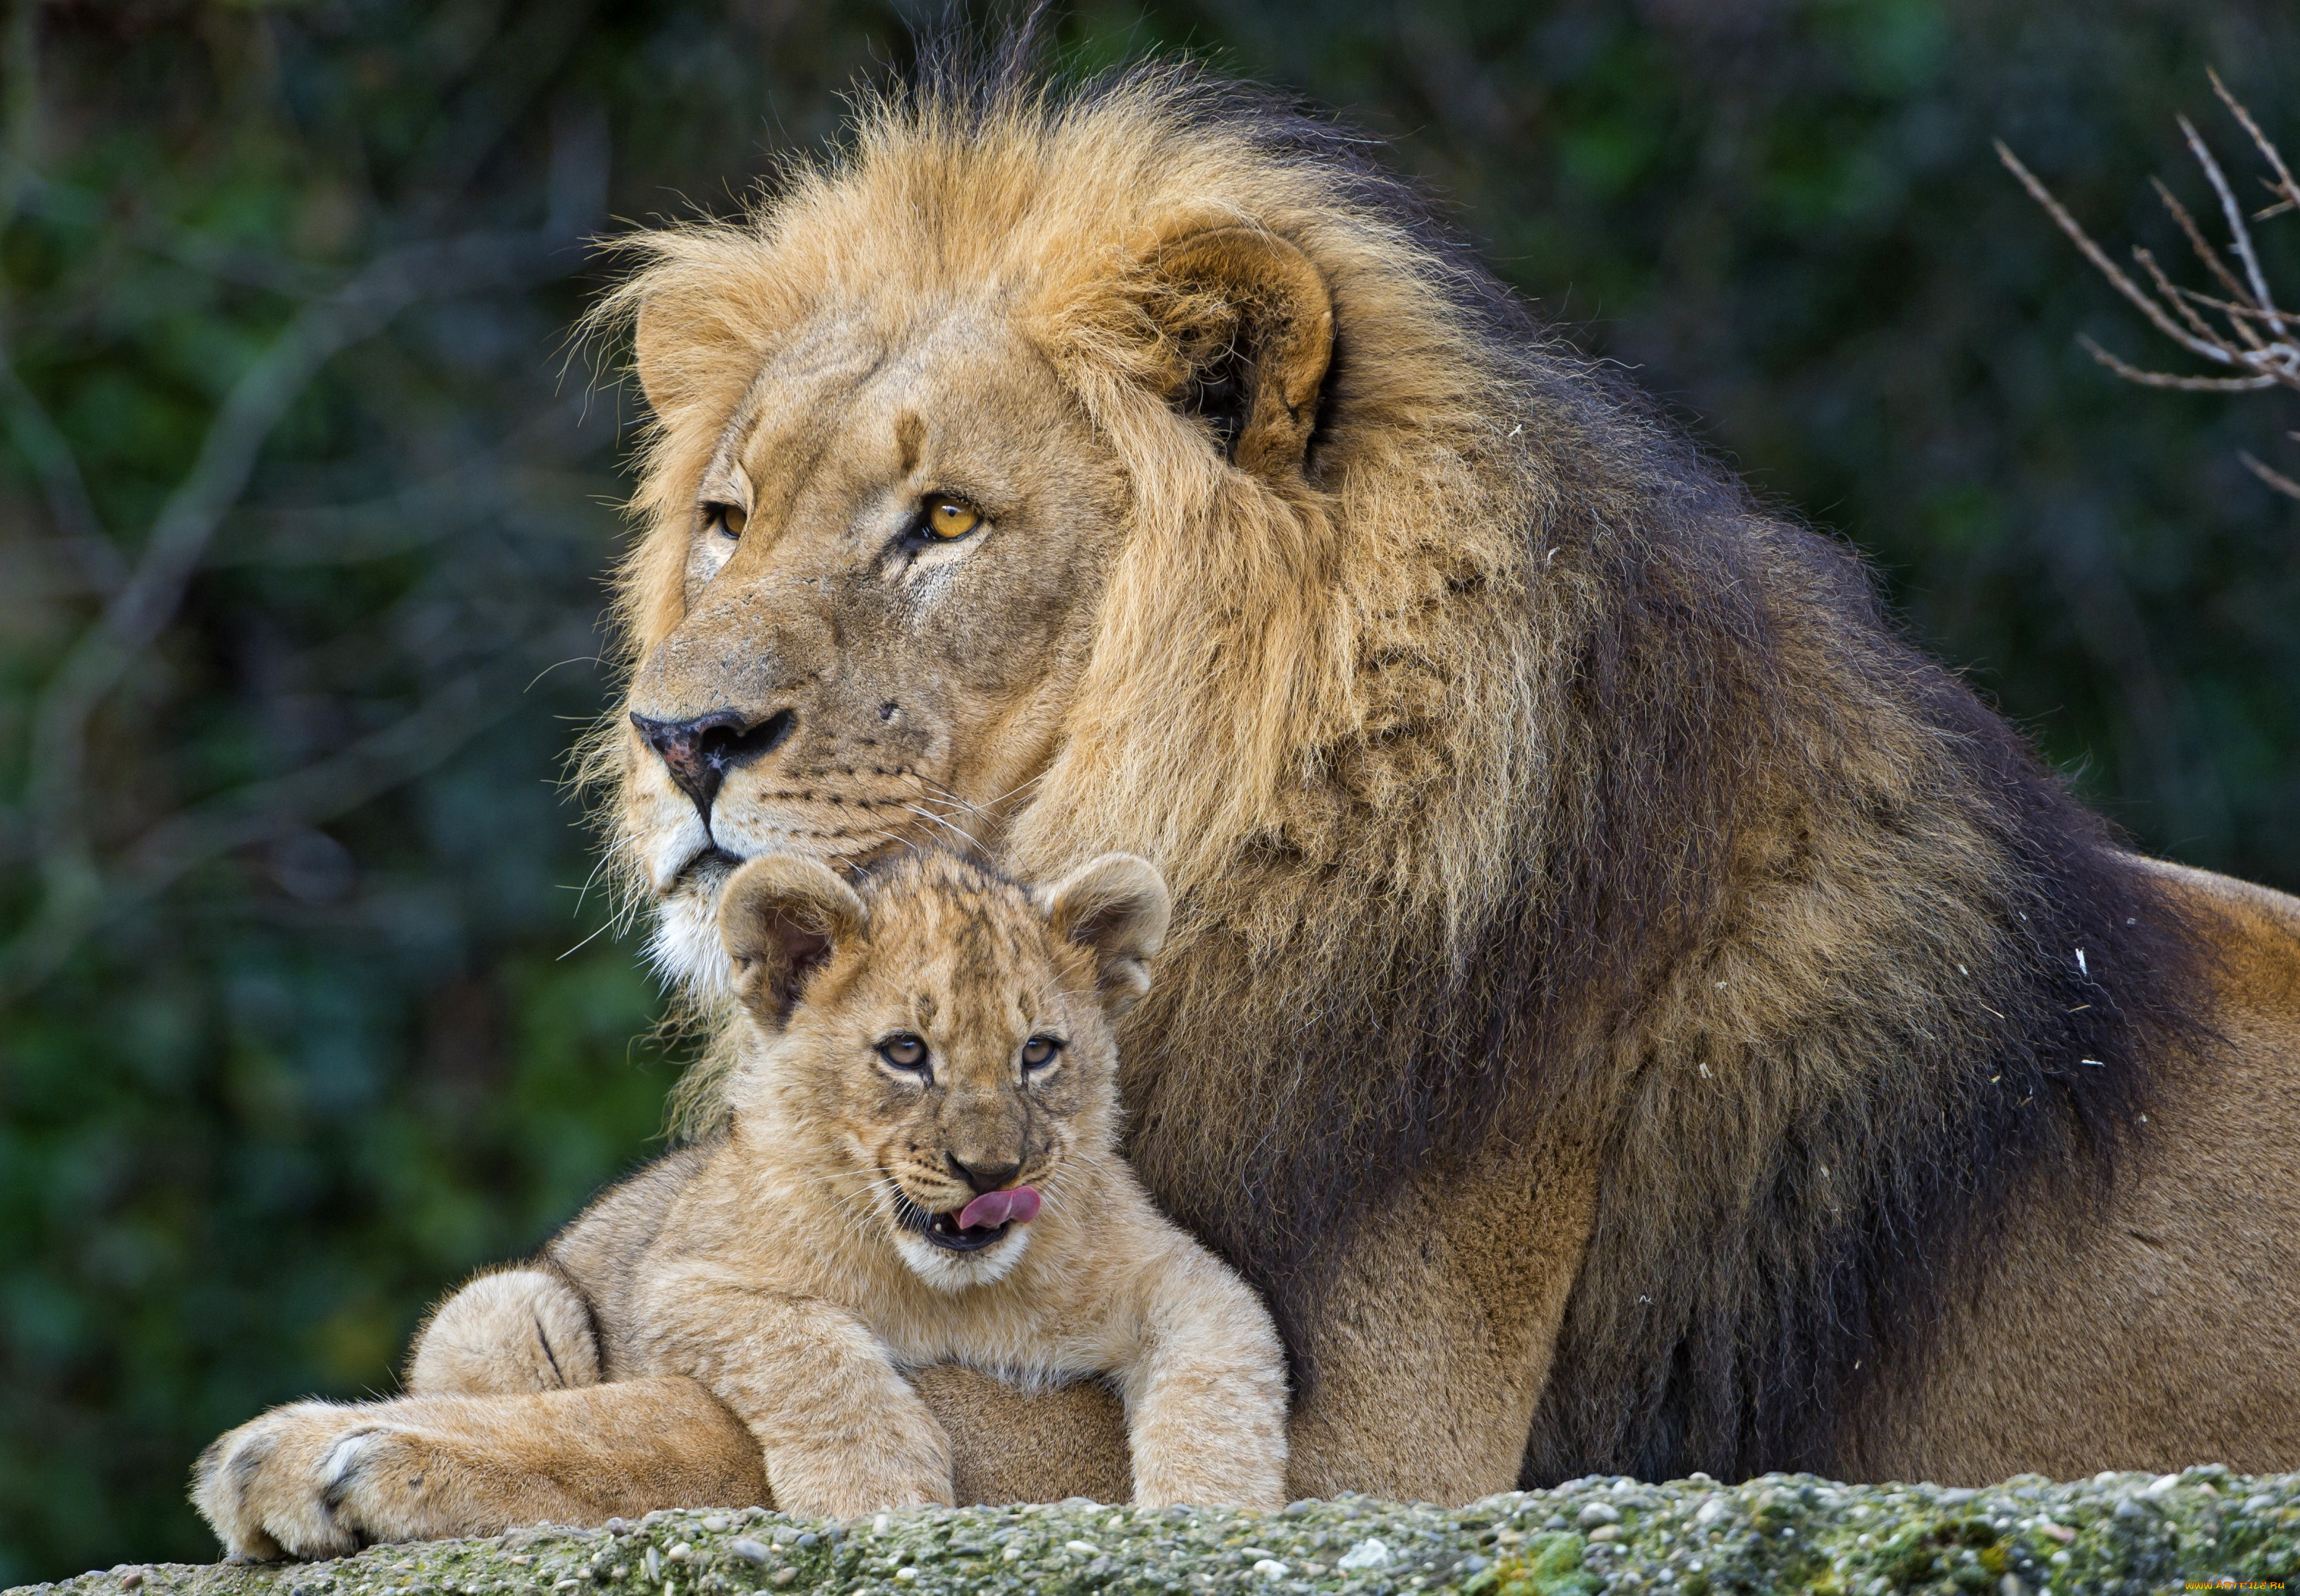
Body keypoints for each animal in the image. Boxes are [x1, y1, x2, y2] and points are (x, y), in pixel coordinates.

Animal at [198, 53, 2300, 1555]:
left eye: (943, 521)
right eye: (728, 517)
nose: (681, 738)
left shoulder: (1371, 1436)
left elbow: (781, 1410)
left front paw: (348, 1441)